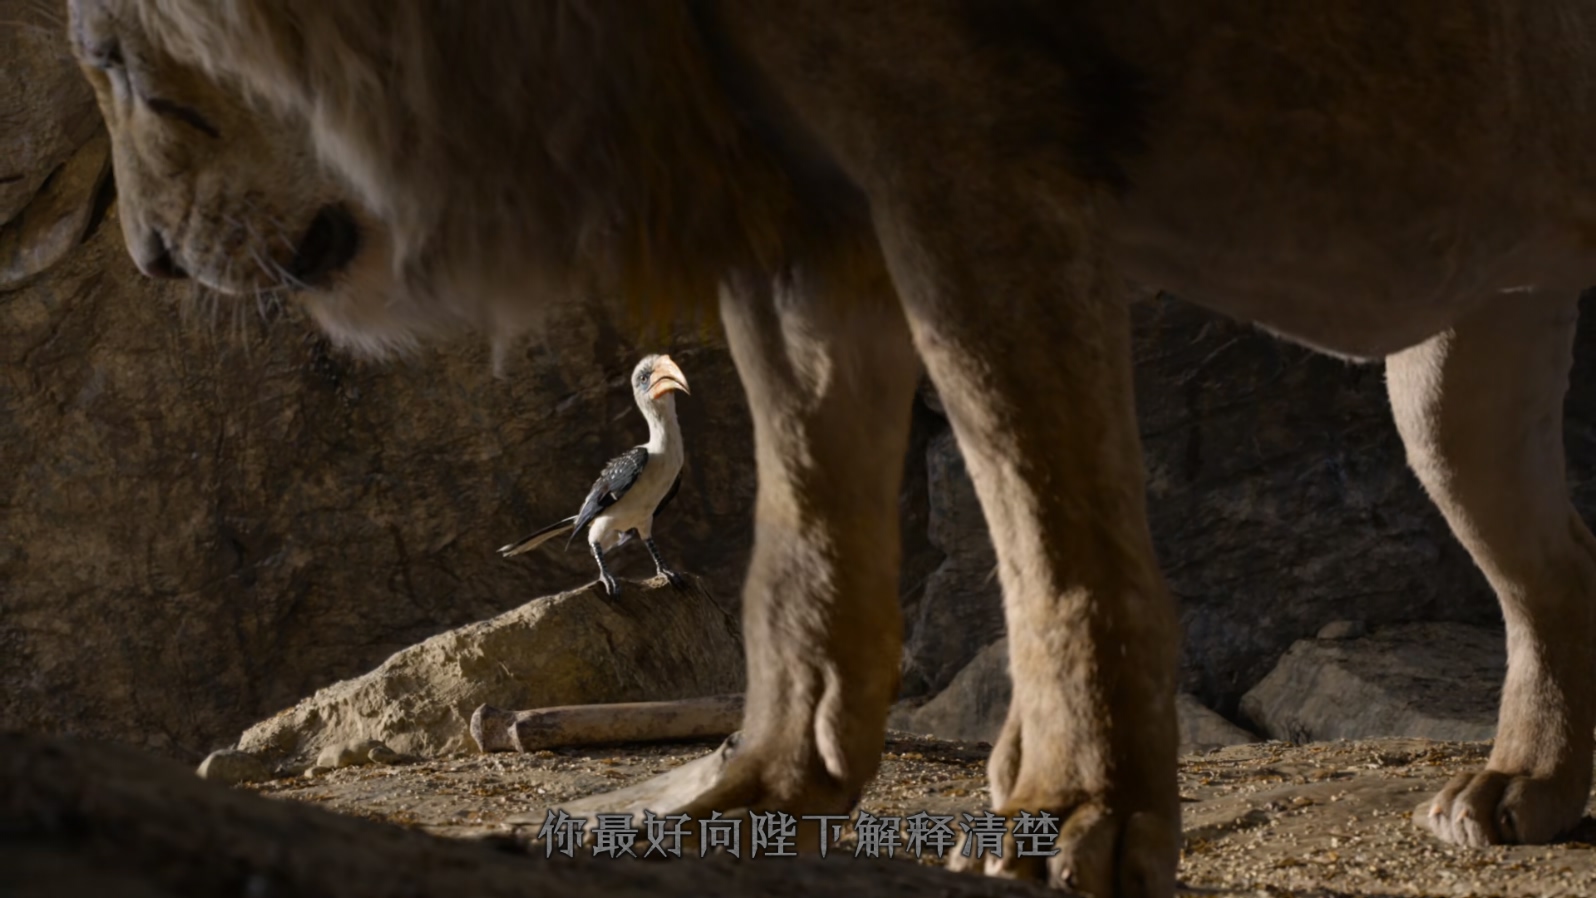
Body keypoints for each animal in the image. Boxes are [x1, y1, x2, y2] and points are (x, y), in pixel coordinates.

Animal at [66, 1, 1596, 895]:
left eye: (106, 60)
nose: (144, 258)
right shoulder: (807, 189)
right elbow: (808, 556)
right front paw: (742, 796)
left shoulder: (968, 141)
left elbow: (1054, 532)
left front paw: (1067, 815)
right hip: (1453, 365)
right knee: (1551, 563)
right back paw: (1525, 791)